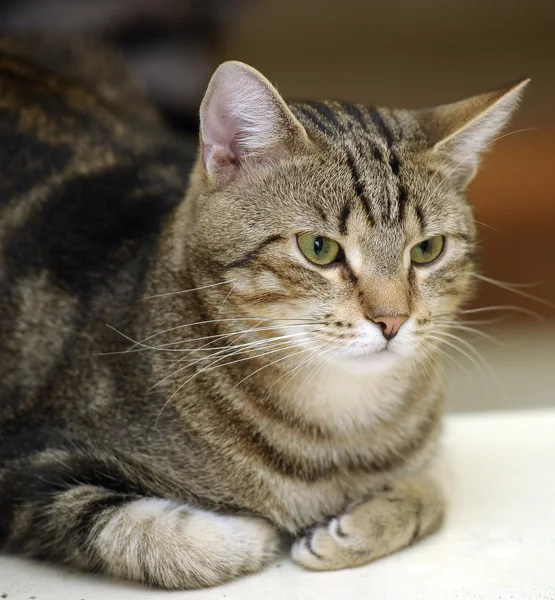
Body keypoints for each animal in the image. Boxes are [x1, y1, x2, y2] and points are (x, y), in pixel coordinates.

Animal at [0, 34, 528, 592]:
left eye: (427, 250)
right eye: (319, 248)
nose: (392, 321)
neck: (340, 433)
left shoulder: (428, 446)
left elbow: (435, 487)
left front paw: (356, 528)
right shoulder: (27, 470)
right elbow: (157, 537)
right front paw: (252, 529)